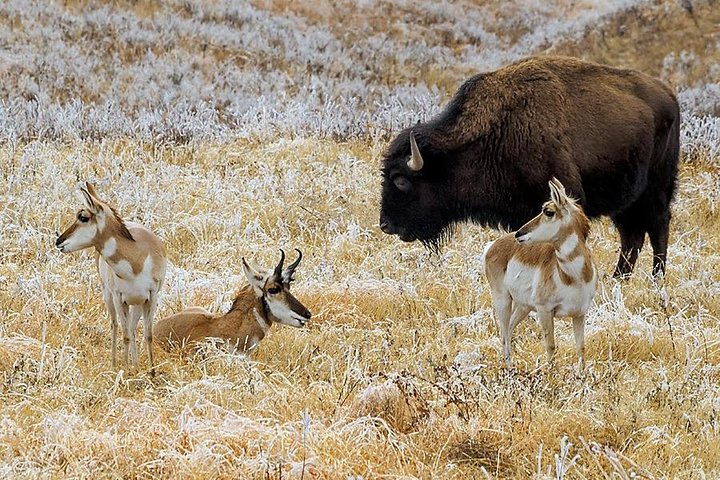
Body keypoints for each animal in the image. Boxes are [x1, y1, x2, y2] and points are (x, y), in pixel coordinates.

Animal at [379, 56, 680, 278]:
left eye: (401, 179)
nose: (385, 224)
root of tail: (669, 95)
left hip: (656, 190)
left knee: (657, 227)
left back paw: (657, 278)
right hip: (627, 201)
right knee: (632, 236)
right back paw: (619, 278)